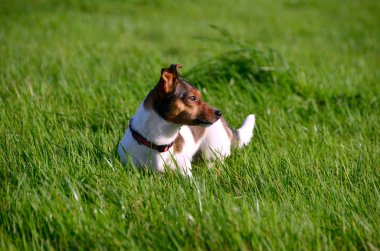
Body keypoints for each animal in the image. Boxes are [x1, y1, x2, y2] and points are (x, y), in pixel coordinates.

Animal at [119, 63, 255, 176]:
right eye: (193, 98)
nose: (219, 113)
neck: (158, 144)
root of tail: (225, 124)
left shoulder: (184, 173)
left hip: (213, 151)